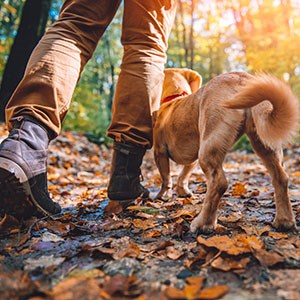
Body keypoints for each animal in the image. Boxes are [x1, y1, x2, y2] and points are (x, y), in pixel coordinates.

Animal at [154, 68, 298, 234]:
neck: (175, 98)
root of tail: (242, 78)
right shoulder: (192, 159)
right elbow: (184, 175)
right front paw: (182, 191)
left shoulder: (159, 151)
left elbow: (166, 178)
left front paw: (163, 195)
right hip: (265, 144)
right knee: (281, 178)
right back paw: (284, 221)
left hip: (208, 147)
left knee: (218, 183)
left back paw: (203, 223)